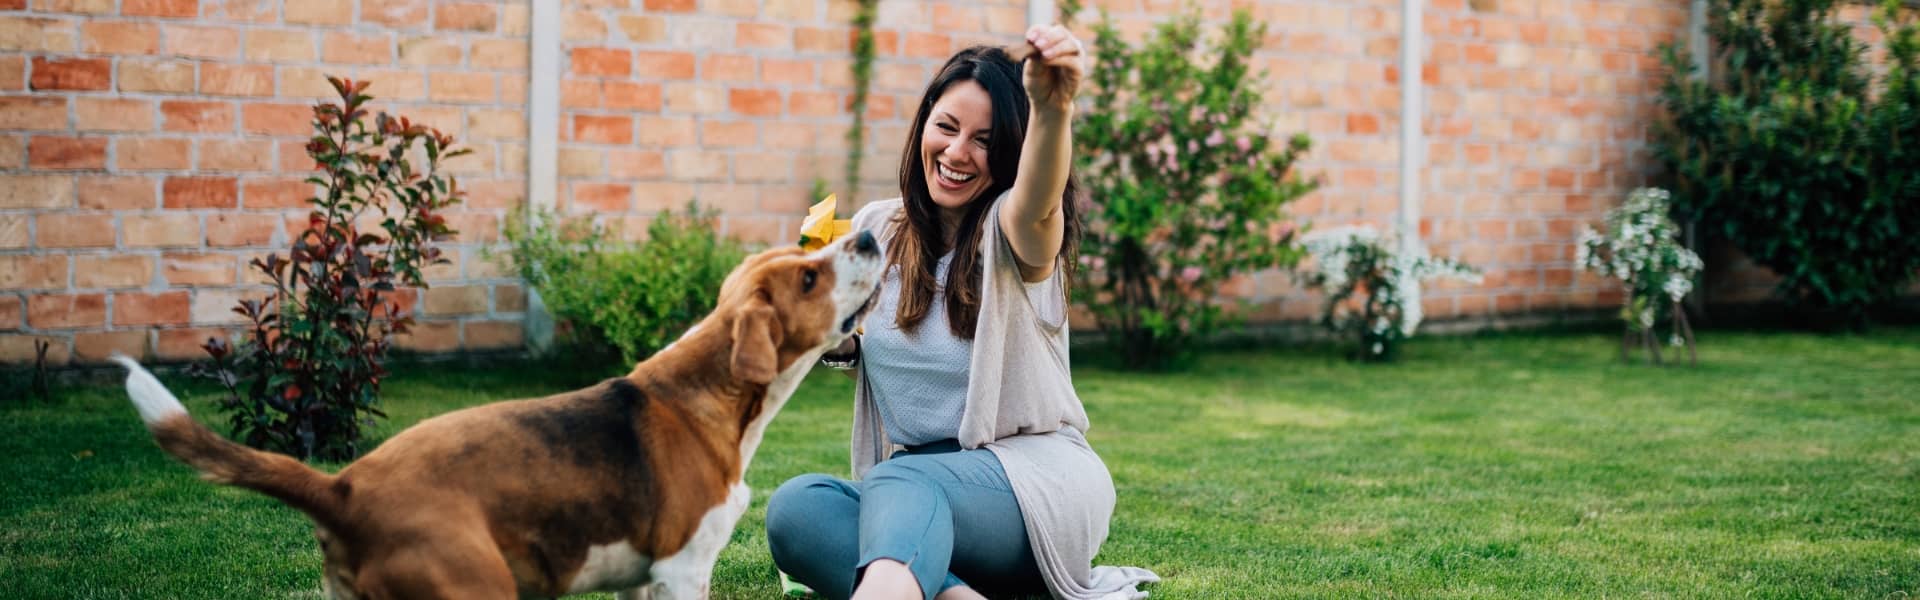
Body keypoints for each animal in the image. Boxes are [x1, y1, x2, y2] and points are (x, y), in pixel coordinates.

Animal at [123, 231, 887, 596]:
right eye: (810, 276)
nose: (869, 240)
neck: (708, 400)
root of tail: (343, 486)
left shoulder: (642, 582)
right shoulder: (682, 570)